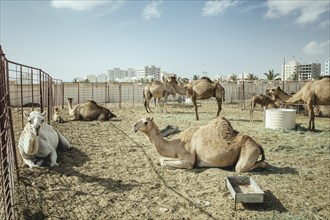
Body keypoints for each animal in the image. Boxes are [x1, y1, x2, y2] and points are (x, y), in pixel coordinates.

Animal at [133, 116, 270, 173]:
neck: (178, 143)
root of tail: (257, 145)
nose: (134, 126)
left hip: (249, 152)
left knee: (246, 166)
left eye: (145, 122)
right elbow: (161, 159)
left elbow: (164, 163)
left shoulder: (187, 160)